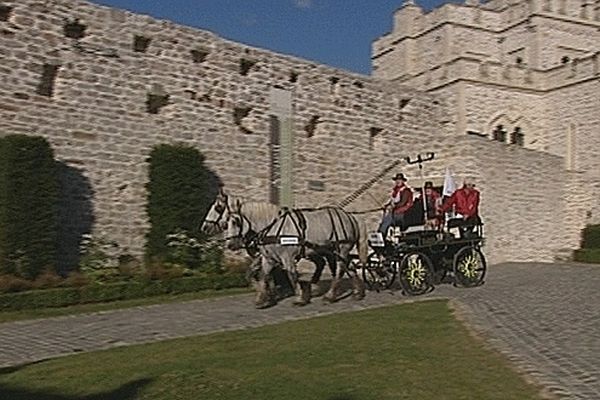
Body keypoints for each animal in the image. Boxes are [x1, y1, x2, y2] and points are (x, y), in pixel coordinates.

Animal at [227, 206, 368, 306]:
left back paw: (330, 296)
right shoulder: (269, 259)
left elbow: (292, 275)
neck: (274, 229)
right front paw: (262, 299)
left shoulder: (287, 257)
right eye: (225, 223)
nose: (230, 245)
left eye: (236, 222)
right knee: (349, 266)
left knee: (340, 269)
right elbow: (264, 276)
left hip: (342, 248)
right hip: (333, 251)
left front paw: (300, 298)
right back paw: (358, 292)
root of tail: (350, 217)